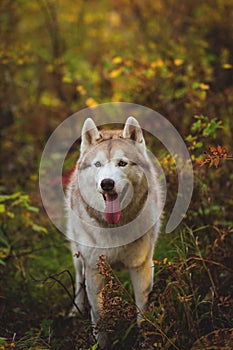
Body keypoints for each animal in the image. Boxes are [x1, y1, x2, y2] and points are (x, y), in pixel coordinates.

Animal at [66, 117, 162, 348]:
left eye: (122, 163)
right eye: (98, 164)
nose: (107, 183)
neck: (115, 227)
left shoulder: (141, 267)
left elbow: (142, 313)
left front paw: (144, 340)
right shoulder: (93, 270)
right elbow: (99, 316)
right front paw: (101, 344)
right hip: (78, 257)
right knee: (78, 280)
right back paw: (76, 309)